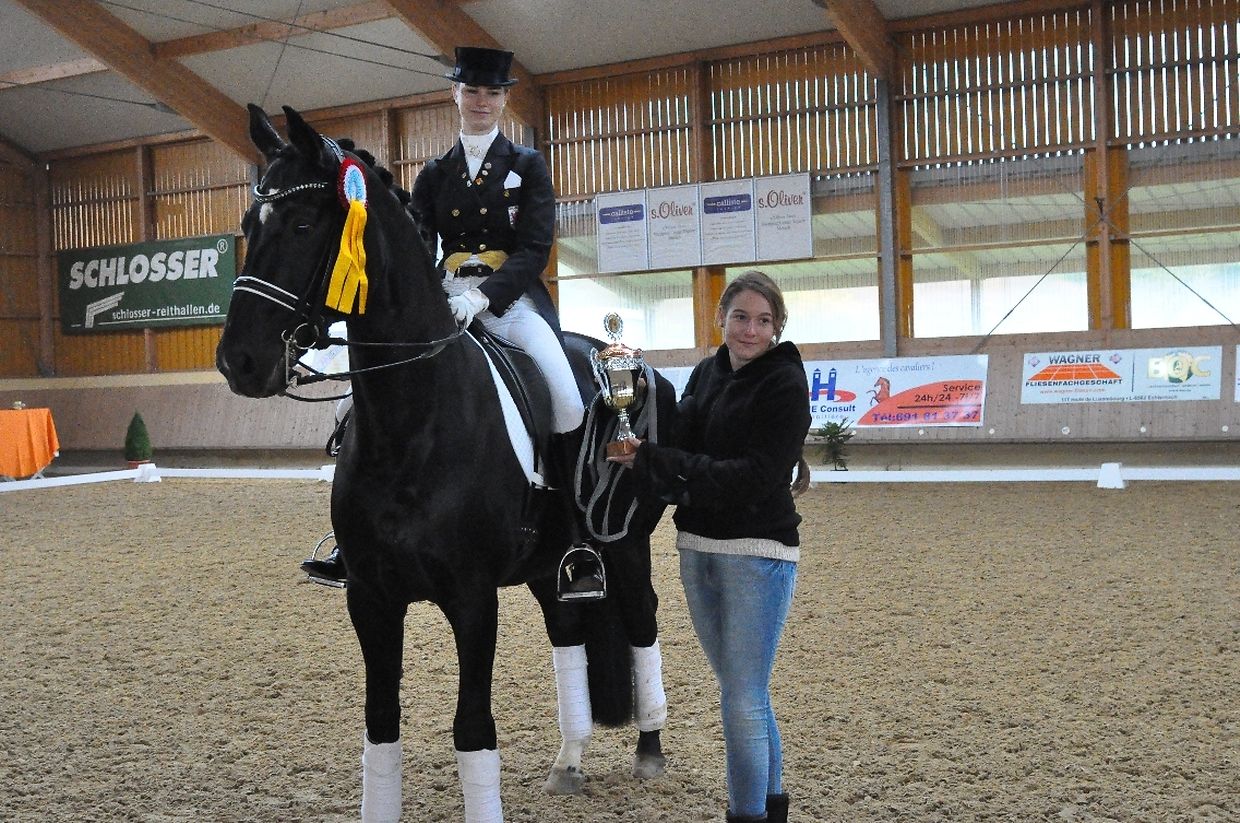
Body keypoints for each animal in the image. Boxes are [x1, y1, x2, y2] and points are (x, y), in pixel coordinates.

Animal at [216, 104, 669, 822]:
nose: (240, 360)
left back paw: (650, 750)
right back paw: (568, 761)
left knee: (643, 621)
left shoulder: (471, 597)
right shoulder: (371, 597)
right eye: (246, 225)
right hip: (550, 565)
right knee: (567, 629)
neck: (413, 422)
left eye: (304, 224)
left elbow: (472, 728)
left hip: (624, 543)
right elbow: (380, 723)